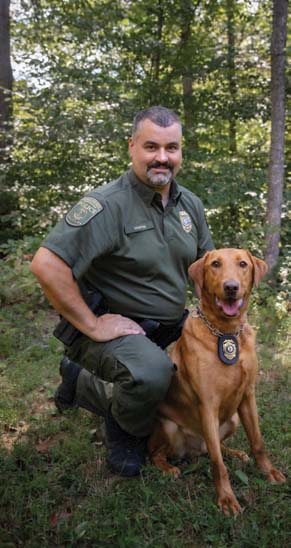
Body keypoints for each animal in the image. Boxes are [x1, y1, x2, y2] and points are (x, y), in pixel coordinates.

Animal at [149, 250, 286, 516]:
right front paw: (226, 499)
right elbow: (217, 465)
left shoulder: (248, 396)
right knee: (157, 453)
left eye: (243, 264)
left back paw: (235, 452)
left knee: (214, 448)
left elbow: (258, 442)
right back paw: (167, 468)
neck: (227, 332)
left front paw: (269, 472)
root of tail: (194, 449)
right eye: (215, 264)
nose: (231, 287)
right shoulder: (207, 404)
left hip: (231, 420)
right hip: (169, 428)